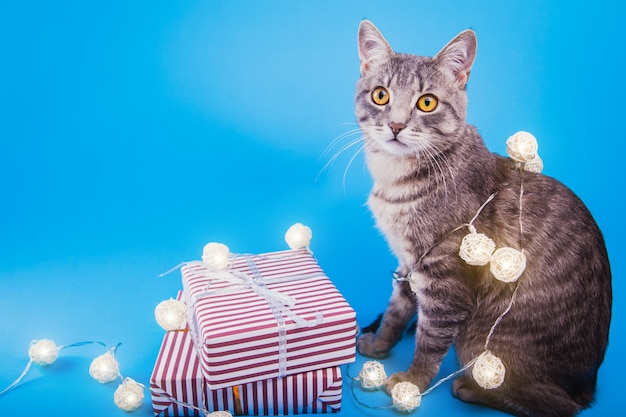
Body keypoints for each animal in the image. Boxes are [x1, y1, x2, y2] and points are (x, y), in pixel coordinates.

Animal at [354, 19, 612, 416]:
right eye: (381, 95)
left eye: (427, 102)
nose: (395, 125)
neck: (394, 178)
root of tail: (587, 385)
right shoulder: (408, 262)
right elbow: (397, 308)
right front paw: (380, 344)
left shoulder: (444, 279)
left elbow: (430, 339)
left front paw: (410, 383)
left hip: (479, 340)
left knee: (555, 404)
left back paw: (471, 389)